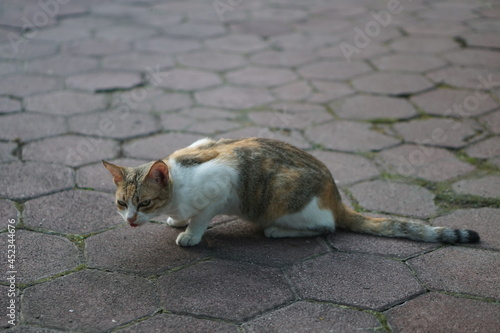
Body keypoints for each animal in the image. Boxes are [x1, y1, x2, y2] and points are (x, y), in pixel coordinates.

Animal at [102, 136, 480, 245]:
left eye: (144, 203)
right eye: (122, 204)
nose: (131, 221)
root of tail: (336, 197)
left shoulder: (219, 186)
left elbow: (201, 218)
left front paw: (190, 235)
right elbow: (187, 216)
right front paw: (178, 221)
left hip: (284, 197)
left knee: (326, 226)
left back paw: (277, 231)